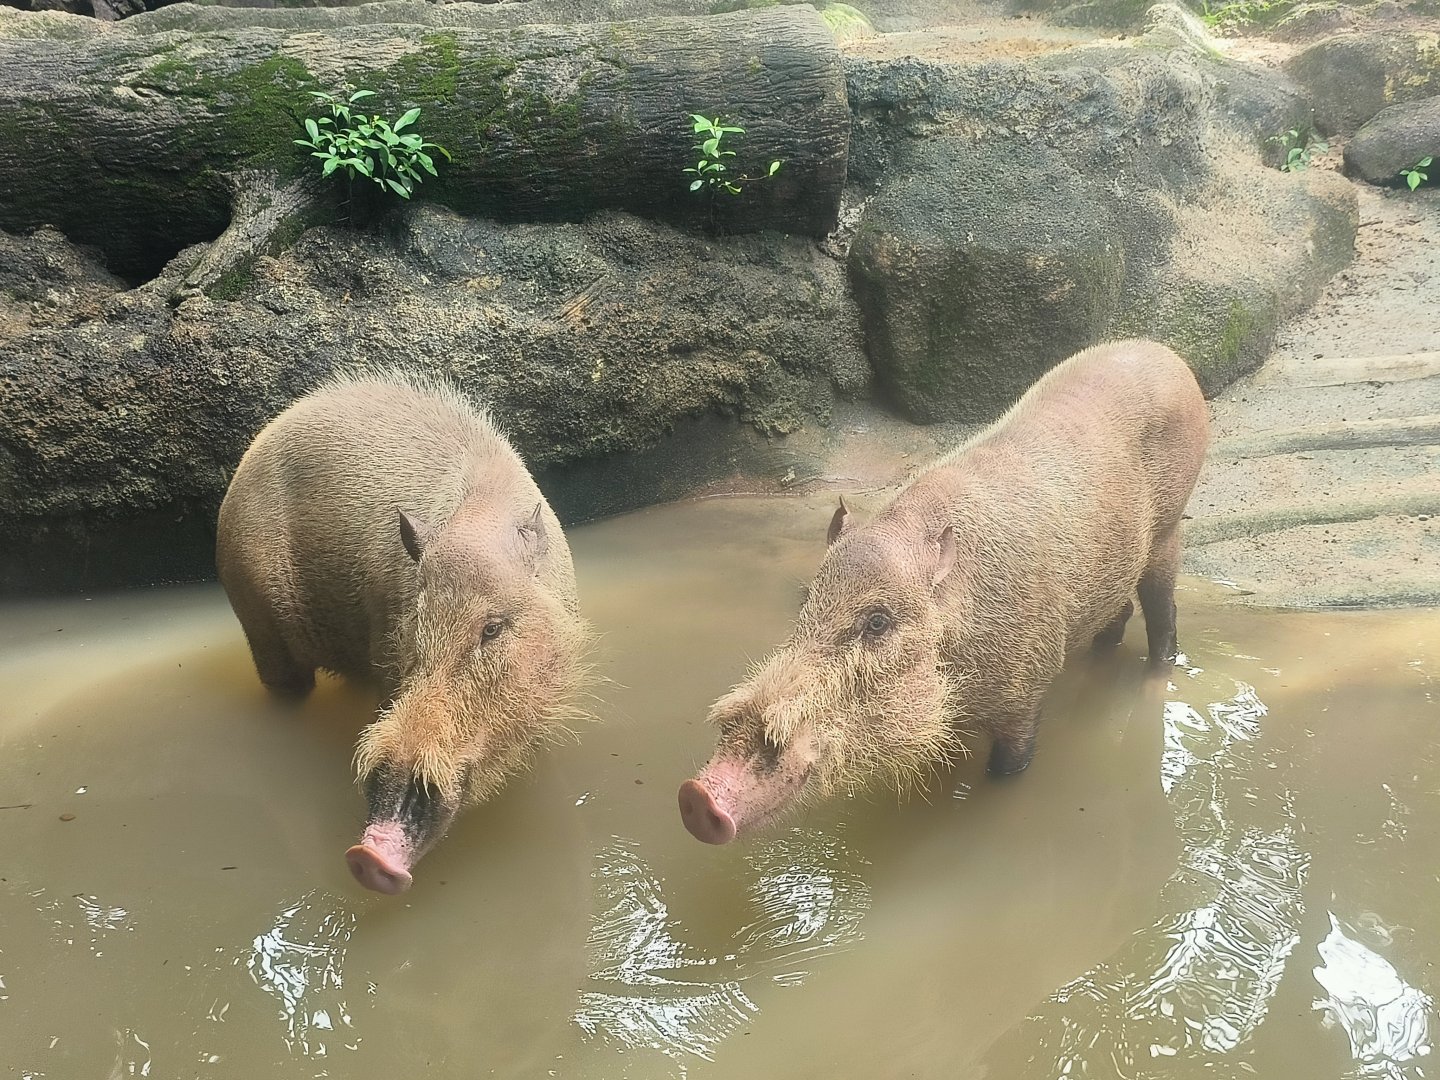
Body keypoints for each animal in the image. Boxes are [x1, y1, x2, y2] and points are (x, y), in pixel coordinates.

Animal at [678, 339, 1209, 844]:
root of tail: (1167, 356)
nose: (696, 795)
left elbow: (1009, 764)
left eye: (877, 622)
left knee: (1162, 615)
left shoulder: (1026, 690)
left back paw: (1157, 681)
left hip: (1169, 528)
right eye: (809, 604)